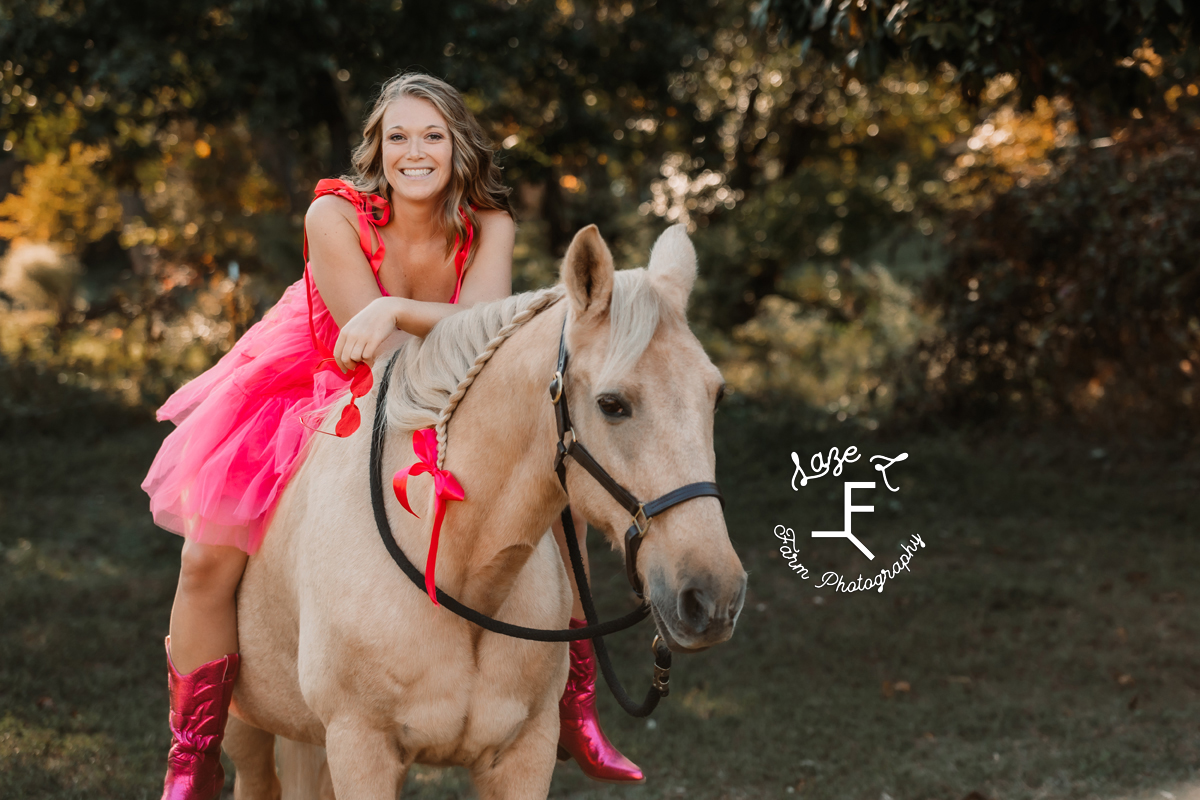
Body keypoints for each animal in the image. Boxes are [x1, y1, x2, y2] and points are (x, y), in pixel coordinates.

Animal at [217, 225, 739, 800]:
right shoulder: (360, 749)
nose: (713, 596)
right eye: (612, 404)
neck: (462, 572)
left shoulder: (524, 755)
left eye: (716, 396)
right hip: (247, 726)